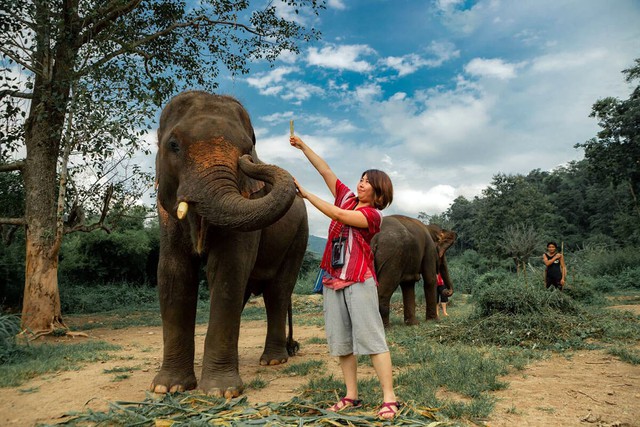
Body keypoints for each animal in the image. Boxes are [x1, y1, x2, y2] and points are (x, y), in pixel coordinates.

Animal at [151, 92, 308, 400]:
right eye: (173, 145)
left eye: (248, 148)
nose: (248, 159)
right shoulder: (166, 213)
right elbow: (174, 274)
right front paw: (167, 387)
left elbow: (227, 270)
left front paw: (219, 392)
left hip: (299, 236)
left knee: (278, 292)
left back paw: (274, 360)